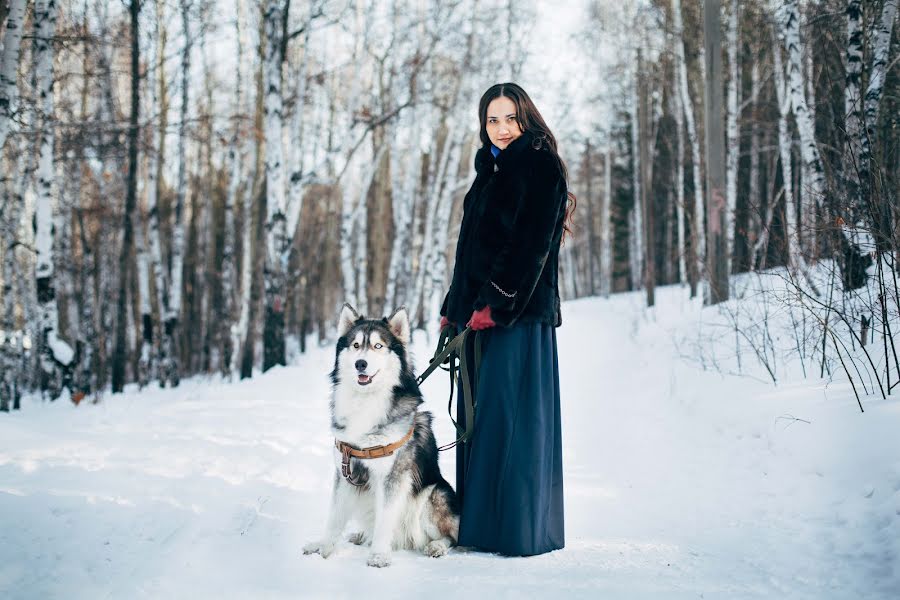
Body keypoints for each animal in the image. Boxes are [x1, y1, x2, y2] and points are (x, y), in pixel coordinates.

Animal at [302, 304, 460, 568]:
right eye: (356, 345)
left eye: (378, 346)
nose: (360, 364)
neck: (365, 402)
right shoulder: (344, 472)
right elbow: (334, 518)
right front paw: (324, 548)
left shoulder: (392, 477)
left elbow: (385, 519)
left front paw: (378, 555)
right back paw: (359, 536)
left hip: (433, 496)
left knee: (452, 536)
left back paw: (436, 546)